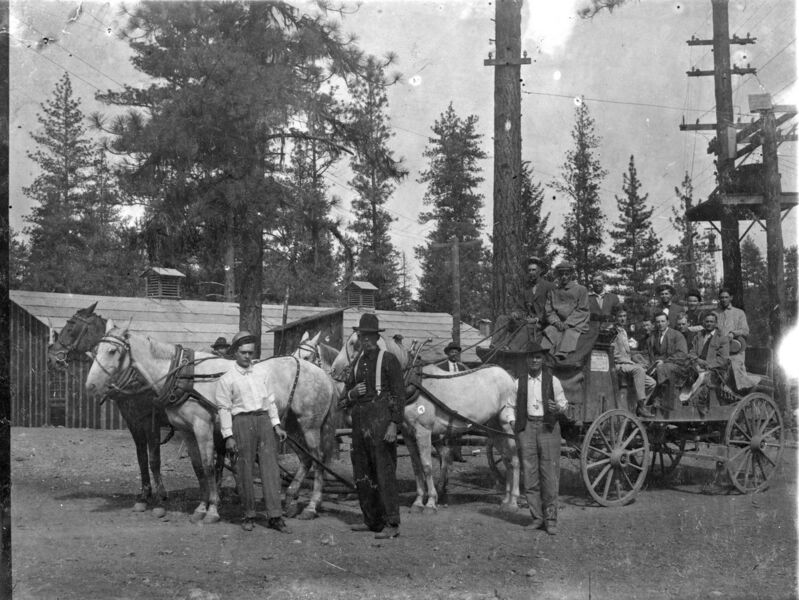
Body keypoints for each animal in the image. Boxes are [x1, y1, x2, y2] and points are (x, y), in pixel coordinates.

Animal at [48, 304, 172, 515]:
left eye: (71, 327)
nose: (53, 358)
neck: (136, 375)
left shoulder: (151, 420)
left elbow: (154, 459)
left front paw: (160, 500)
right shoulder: (133, 420)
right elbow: (141, 457)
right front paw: (144, 496)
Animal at [86, 327, 340, 522]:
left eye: (112, 351)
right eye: (95, 351)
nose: (90, 385)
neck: (183, 376)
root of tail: (323, 374)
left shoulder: (200, 427)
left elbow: (207, 467)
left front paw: (212, 509)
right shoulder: (186, 431)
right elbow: (198, 468)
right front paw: (201, 507)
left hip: (309, 425)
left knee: (319, 460)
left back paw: (311, 506)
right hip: (291, 426)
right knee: (307, 459)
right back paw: (290, 499)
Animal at [330, 331, 521, 513]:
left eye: (354, 343)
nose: (332, 370)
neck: (410, 381)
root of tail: (510, 377)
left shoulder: (423, 431)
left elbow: (427, 465)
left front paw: (430, 503)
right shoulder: (407, 433)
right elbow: (416, 466)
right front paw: (417, 501)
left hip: (506, 424)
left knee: (514, 458)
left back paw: (513, 501)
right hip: (493, 428)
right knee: (506, 459)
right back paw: (505, 500)